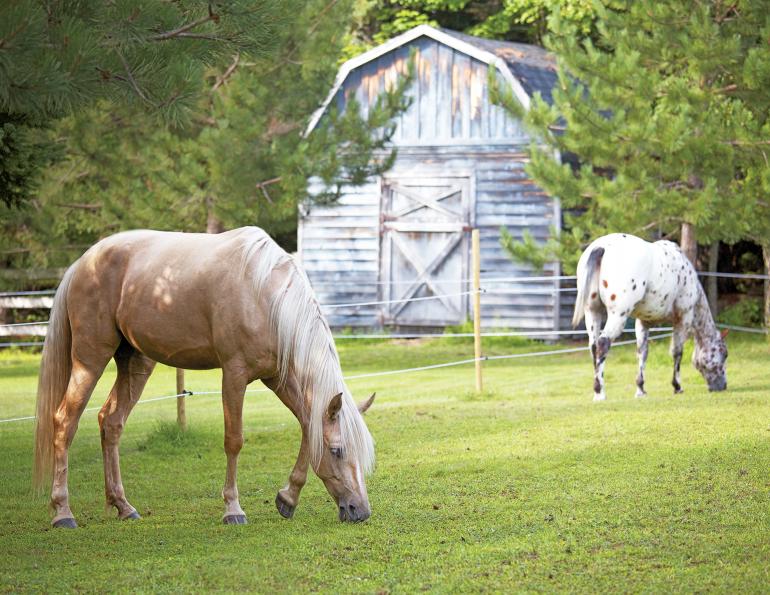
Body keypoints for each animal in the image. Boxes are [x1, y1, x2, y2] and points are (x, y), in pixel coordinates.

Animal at [33, 227, 376, 528]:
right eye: (338, 450)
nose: (360, 511)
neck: (264, 293)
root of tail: (82, 263)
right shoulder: (235, 375)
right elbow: (234, 441)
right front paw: (233, 509)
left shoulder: (277, 377)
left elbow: (307, 426)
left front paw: (287, 499)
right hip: (90, 359)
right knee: (65, 422)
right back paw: (63, 513)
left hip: (135, 363)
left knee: (111, 422)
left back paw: (123, 506)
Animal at [572, 233, 728, 401]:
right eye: (724, 354)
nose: (723, 386)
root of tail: (601, 247)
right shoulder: (683, 319)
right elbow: (677, 352)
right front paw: (677, 387)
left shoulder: (643, 322)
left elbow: (642, 353)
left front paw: (640, 390)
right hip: (617, 315)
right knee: (602, 344)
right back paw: (600, 393)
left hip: (592, 312)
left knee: (593, 347)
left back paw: (597, 391)